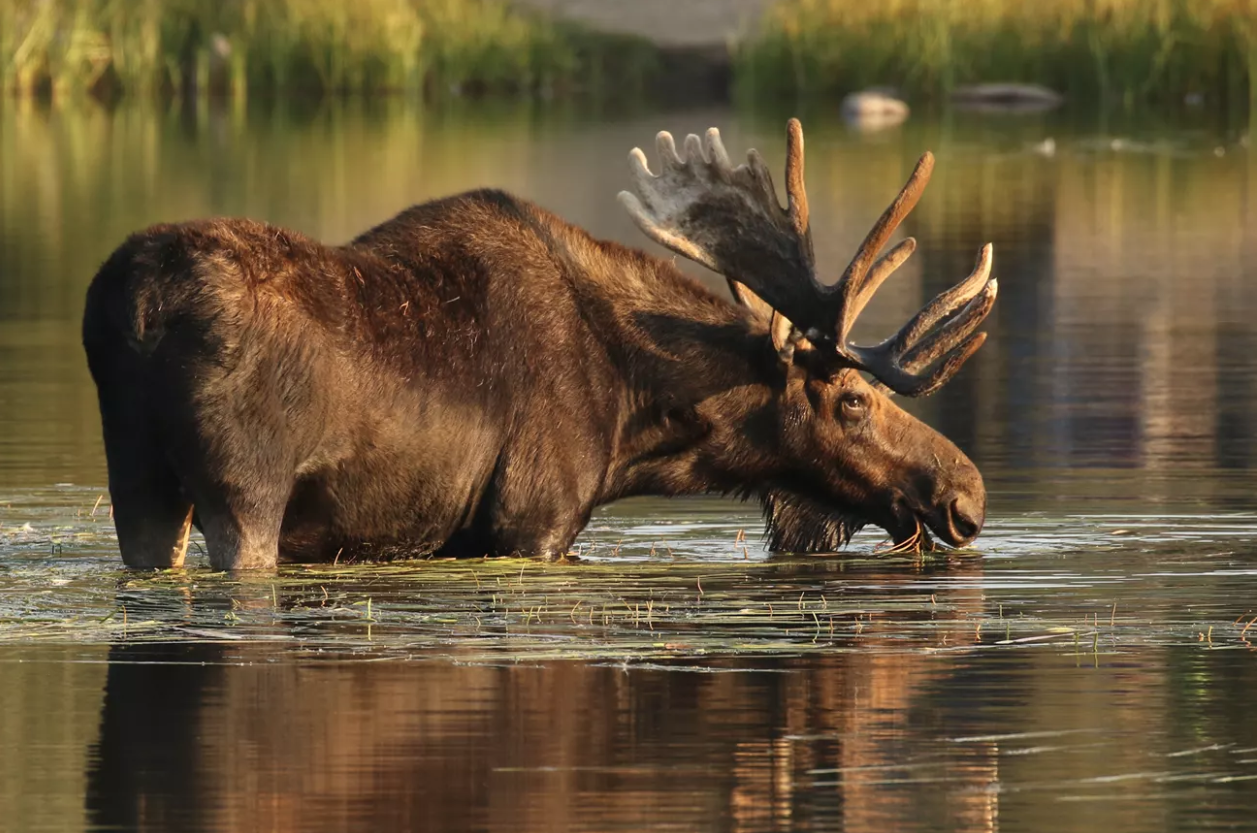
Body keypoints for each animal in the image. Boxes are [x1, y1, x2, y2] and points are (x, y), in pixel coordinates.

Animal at [81, 118, 997, 571]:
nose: (968, 493)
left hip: (138, 479)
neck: (635, 422)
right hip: (247, 491)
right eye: (852, 398)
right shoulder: (534, 518)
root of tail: (134, 307)